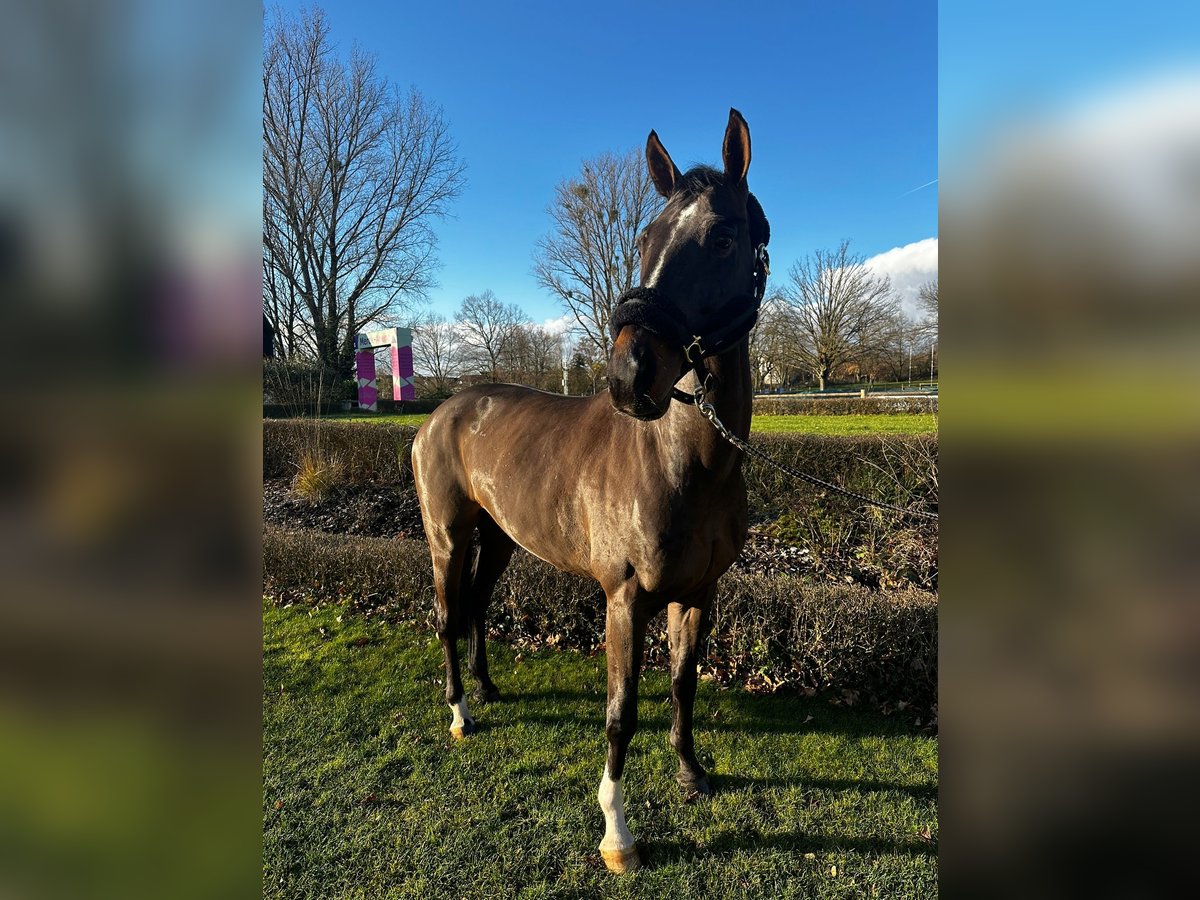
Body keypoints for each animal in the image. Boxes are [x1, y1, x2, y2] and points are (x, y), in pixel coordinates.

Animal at [412, 107, 768, 873]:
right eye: (645, 239)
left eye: (723, 238)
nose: (630, 375)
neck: (688, 466)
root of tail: (438, 414)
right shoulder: (625, 599)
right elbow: (620, 714)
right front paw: (617, 834)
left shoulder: (698, 593)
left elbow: (682, 683)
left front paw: (690, 772)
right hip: (448, 536)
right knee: (448, 615)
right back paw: (460, 710)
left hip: (499, 539)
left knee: (477, 605)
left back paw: (487, 687)